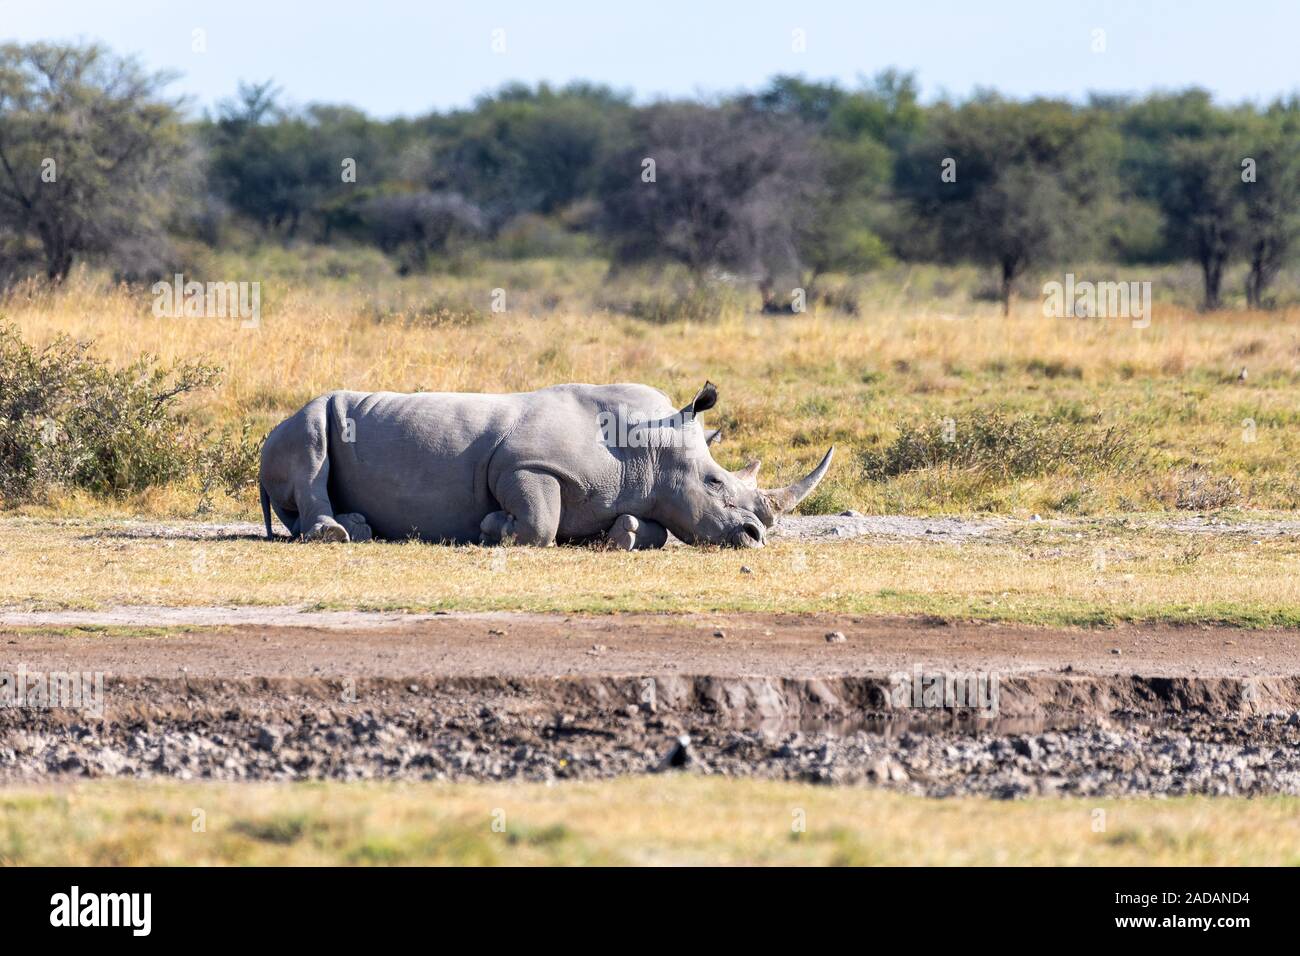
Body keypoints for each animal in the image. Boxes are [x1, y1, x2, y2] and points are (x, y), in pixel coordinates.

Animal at [258, 377, 837, 548]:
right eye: (715, 483)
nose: (756, 537)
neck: (650, 449)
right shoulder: (527, 465)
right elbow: (539, 523)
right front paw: (493, 527)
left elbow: (652, 528)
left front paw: (625, 536)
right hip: (299, 423)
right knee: (311, 443)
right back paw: (341, 534)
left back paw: (359, 528)